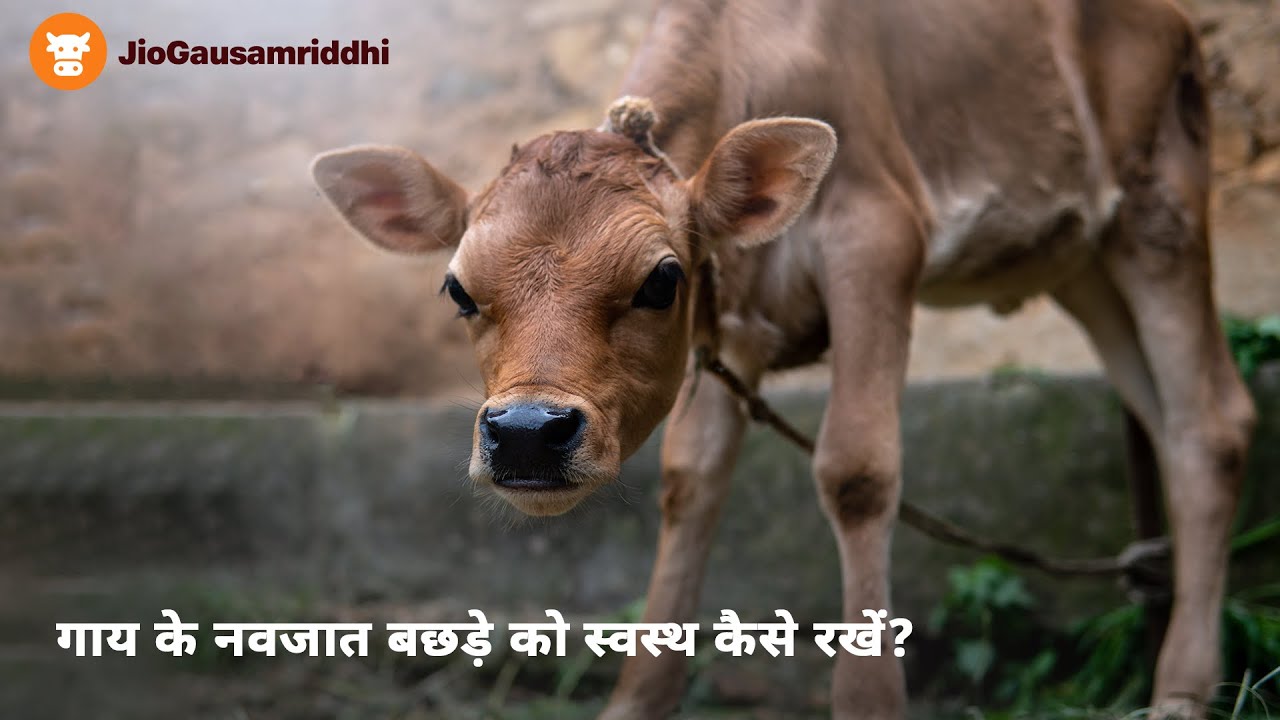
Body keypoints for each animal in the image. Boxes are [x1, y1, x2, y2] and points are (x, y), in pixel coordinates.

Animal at [309, 0, 1256, 717]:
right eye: (458, 289)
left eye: (660, 280)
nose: (527, 433)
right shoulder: (729, 317)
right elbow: (690, 481)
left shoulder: (878, 237)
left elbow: (858, 472)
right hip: (1082, 263)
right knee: (1166, 419)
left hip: (1160, 211)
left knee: (1213, 422)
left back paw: (1180, 691)